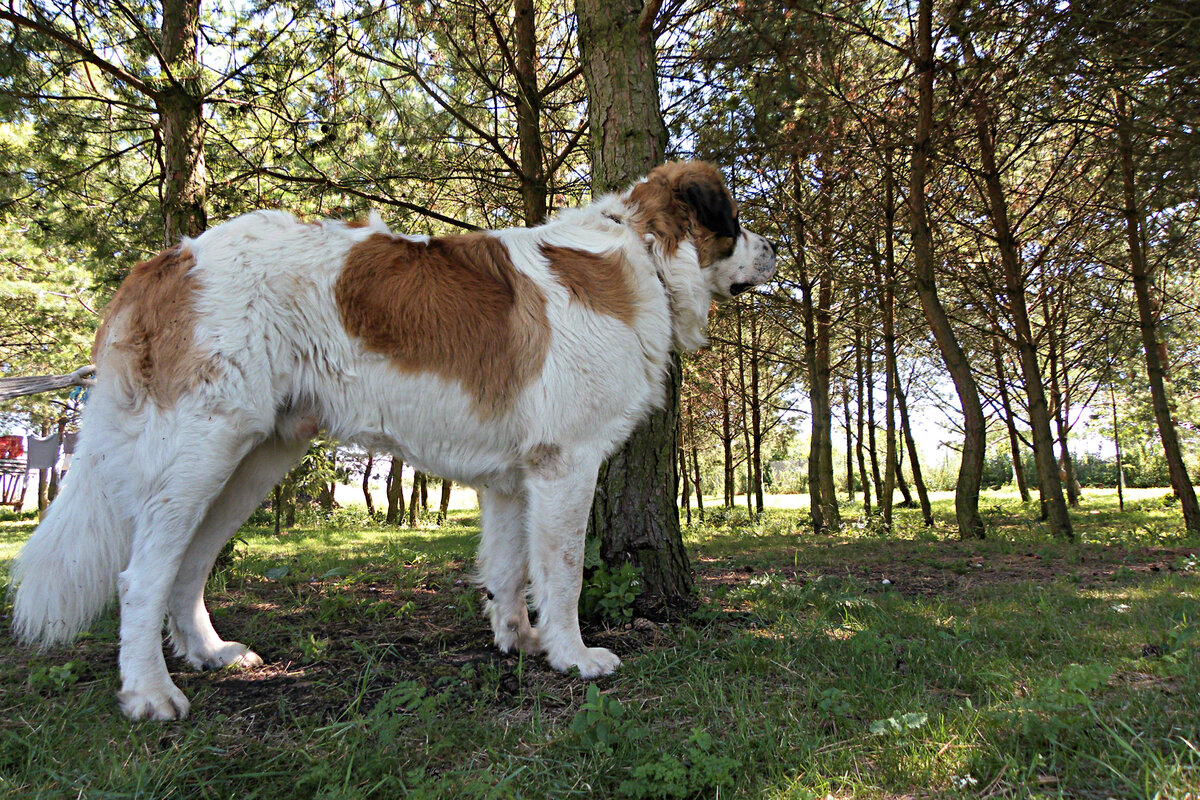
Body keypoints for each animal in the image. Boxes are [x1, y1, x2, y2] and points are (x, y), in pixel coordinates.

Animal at [11, 160, 777, 719]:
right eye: (736, 223)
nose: (773, 249)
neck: (643, 255)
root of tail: (167, 261)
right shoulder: (566, 466)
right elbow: (560, 573)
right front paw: (573, 656)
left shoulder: (515, 480)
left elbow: (509, 570)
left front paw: (519, 642)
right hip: (202, 452)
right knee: (143, 574)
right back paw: (150, 693)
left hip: (250, 461)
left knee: (188, 564)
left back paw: (210, 653)